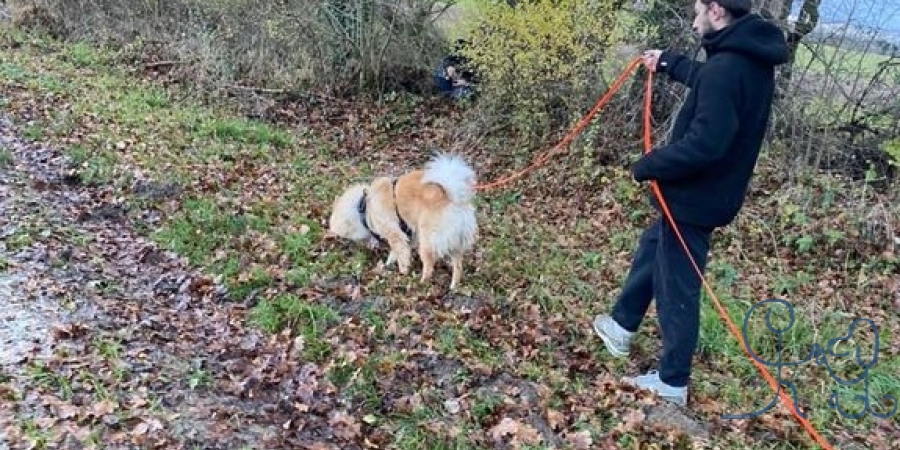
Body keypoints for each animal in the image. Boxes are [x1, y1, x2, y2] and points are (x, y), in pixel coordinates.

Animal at [326, 153, 478, 290]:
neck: (363, 206)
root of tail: (453, 199)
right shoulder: (407, 235)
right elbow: (397, 253)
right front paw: (387, 265)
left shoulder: (394, 234)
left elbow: (401, 255)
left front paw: (402, 273)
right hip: (456, 245)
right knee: (458, 267)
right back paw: (453, 287)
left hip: (427, 242)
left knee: (429, 266)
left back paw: (421, 282)